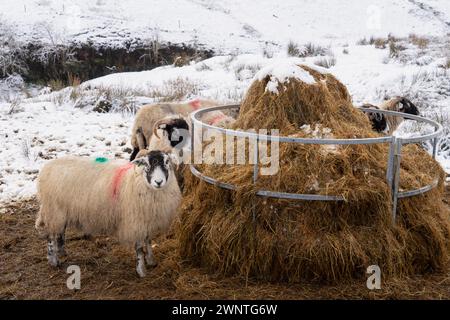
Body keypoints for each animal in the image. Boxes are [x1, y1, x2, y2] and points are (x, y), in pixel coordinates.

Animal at [34, 151, 181, 278]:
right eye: (146, 164)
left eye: (167, 162)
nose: (158, 182)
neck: (138, 182)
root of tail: (47, 167)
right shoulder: (136, 221)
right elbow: (139, 247)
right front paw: (141, 270)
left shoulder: (148, 219)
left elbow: (148, 240)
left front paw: (151, 261)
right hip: (54, 210)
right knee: (51, 236)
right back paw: (53, 260)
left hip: (61, 211)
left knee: (60, 232)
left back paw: (61, 251)